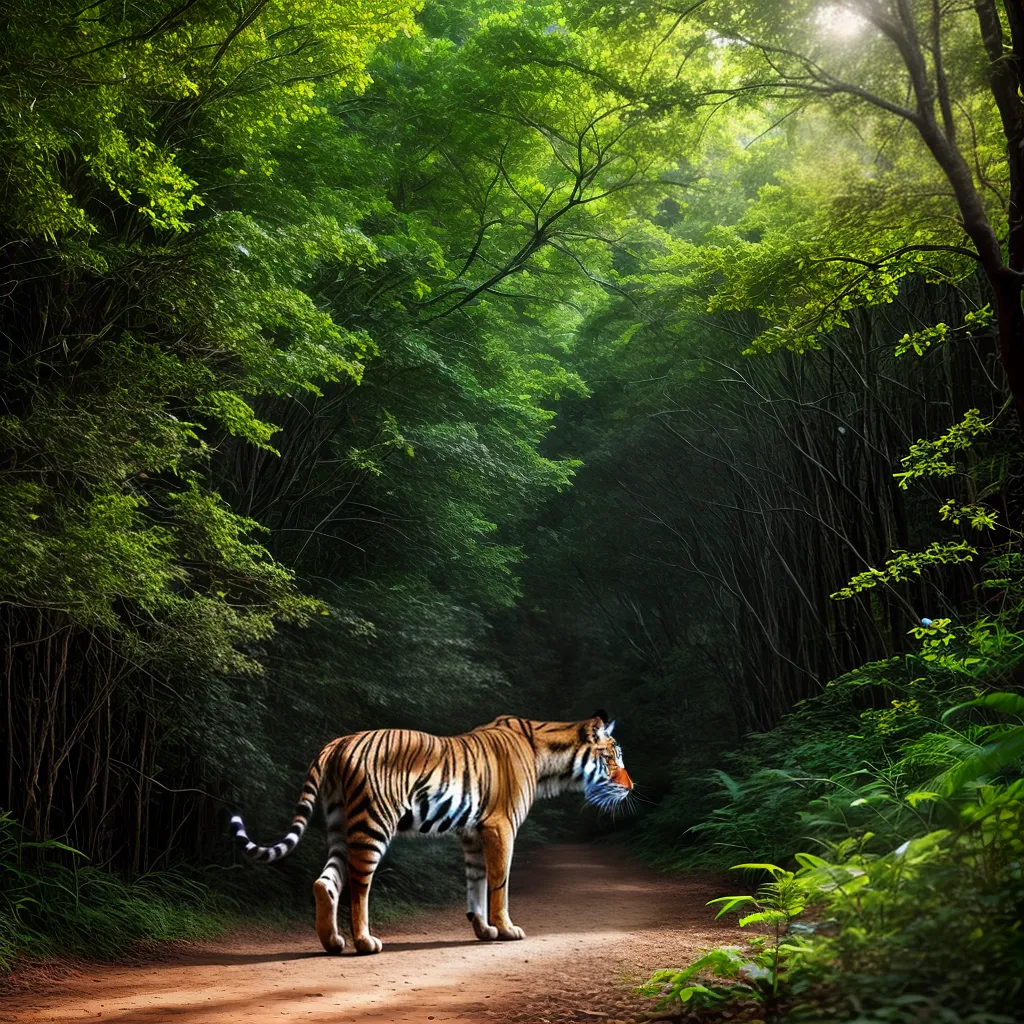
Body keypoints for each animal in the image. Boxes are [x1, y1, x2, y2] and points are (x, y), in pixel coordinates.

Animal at [229, 710, 632, 955]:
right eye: (612, 758)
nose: (631, 787)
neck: (547, 760)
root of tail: (336, 743)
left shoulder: (472, 832)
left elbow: (476, 883)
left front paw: (483, 930)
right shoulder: (499, 826)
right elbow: (499, 883)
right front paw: (506, 929)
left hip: (339, 825)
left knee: (324, 882)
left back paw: (333, 942)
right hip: (372, 823)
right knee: (359, 886)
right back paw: (364, 941)